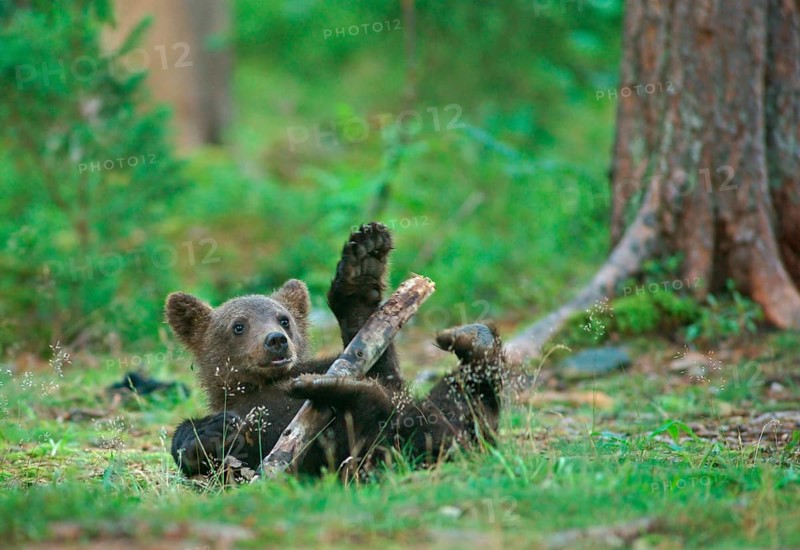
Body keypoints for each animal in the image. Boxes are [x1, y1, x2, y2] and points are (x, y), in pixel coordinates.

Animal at [168, 222, 506, 478]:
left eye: (284, 319)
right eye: (238, 326)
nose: (276, 340)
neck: (266, 383)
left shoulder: (330, 366)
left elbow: (383, 369)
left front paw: (361, 269)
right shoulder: (249, 423)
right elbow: (212, 451)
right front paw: (209, 432)